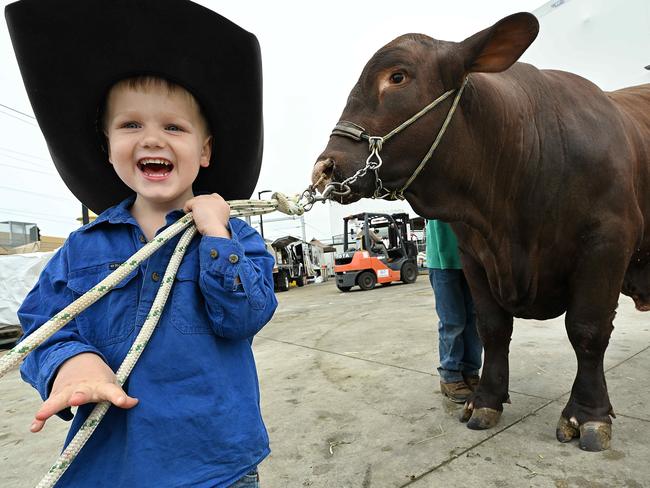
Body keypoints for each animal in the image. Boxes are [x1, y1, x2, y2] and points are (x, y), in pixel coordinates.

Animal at [308, 12, 648, 454]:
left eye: (397, 77)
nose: (325, 168)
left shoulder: (607, 242)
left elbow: (587, 329)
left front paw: (587, 414)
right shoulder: (474, 254)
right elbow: (492, 328)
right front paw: (484, 399)